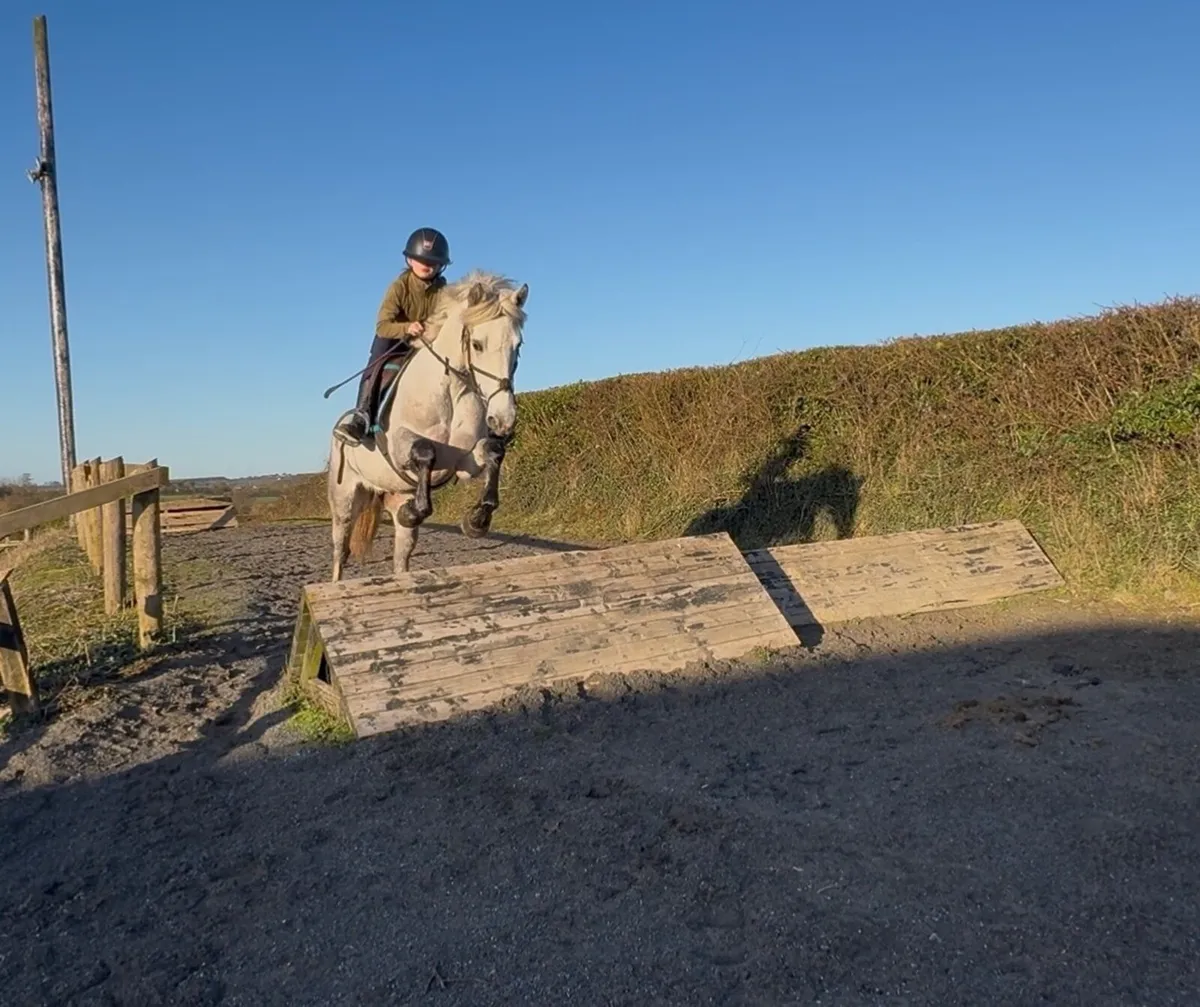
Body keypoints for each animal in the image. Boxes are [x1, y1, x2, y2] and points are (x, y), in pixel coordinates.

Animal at [326, 270, 528, 581]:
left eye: (517, 346)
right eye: (477, 344)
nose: (503, 419)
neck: (452, 390)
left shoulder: (465, 462)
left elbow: (493, 452)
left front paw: (477, 519)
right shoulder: (400, 446)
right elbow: (424, 451)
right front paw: (417, 510)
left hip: (394, 498)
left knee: (401, 557)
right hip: (345, 499)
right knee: (340, 551)